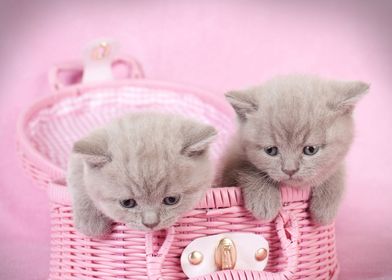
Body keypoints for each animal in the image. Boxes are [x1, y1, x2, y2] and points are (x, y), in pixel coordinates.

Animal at [66, 112, 216, 236]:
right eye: (127, 203)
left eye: (171, 200)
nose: (151, 224)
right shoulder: (75, 162)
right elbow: (79, 181)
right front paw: (90, 223)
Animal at [222, 75, 370, 224]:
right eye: (271, 151)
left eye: (310, 149)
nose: (290, 170)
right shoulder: (232, 159)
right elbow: (248, 169)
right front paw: (264, 200)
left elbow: (334, 173)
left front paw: (325, 209)